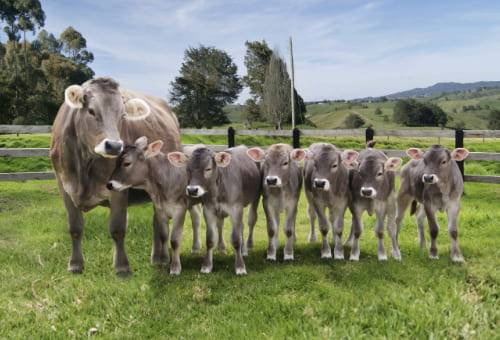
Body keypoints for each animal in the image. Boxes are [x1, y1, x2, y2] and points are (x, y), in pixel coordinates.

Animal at [107, 137, 191, 274]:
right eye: (115, 162)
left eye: (127, 163)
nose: (109, 184)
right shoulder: (159, 209)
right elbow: (163, 235)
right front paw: (164, 260)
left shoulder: (180, 209)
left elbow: (175, 240)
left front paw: (175, 267)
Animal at [168, 145, 262, 274]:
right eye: (187, 169)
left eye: (208, 169)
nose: (192, 190)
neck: (217, 192)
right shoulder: (209, 210)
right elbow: (210, 239)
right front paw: (207, 266)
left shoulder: (235, 208)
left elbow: (236, 239)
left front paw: (240, 267)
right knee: (229, 225)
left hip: (255, 198)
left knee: (251, 221)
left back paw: (245, 249)